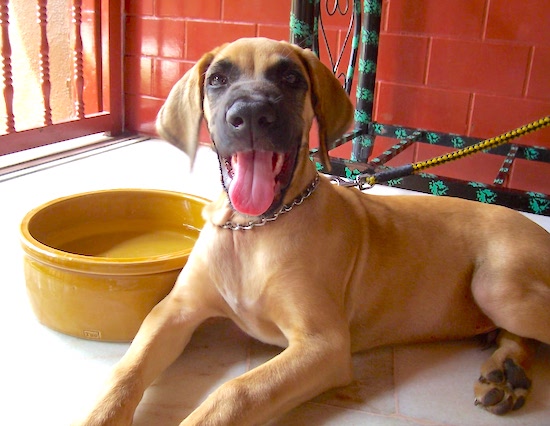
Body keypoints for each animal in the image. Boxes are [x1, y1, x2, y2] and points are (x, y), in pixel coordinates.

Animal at [77, 37, 550, 426]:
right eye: (217, 80)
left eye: (291, 78)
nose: (250, 114)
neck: (252, 231)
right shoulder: (175, 310)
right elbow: (126, 371)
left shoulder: (323, 345)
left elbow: (237, 392)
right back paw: (506, 373)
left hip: (499, 286)